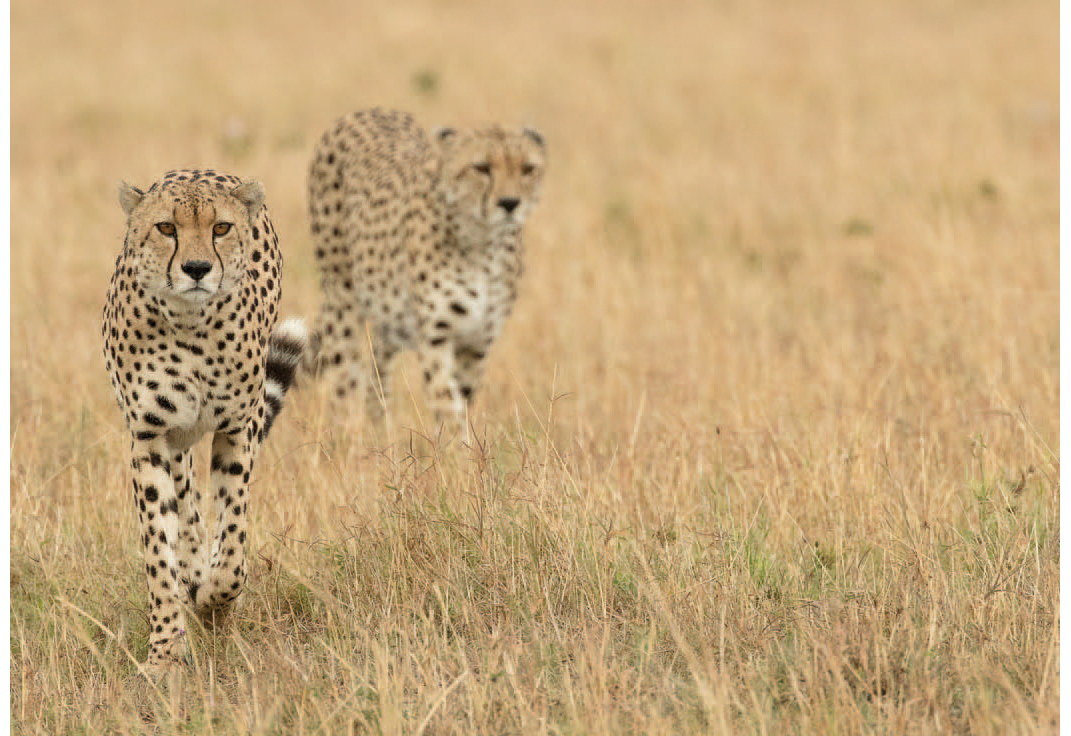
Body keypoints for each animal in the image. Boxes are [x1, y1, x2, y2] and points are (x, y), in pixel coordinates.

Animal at [101, 170, 306, 677]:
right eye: (166, 228)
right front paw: (163, 654)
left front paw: (216, 602)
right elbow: (159, 550)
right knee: (188, 506)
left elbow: (233, 544)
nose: (196, 268)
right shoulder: (150, 436)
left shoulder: (237, 429)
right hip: (176, 438)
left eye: (221, 228)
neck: (190, 323)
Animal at [306, 106, 548, 434]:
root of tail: (371, 110)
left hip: (388, 312)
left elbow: (461, 399)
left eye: (527, 168)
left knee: (378, 363)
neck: (484, 243)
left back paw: (379, 429)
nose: (510, 203)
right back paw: (346, 434)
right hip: (342, 295)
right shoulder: (436, 336)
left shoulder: (477, 342)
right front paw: (457, 447)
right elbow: (446, 402)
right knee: (344, 375)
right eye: (481, 167)